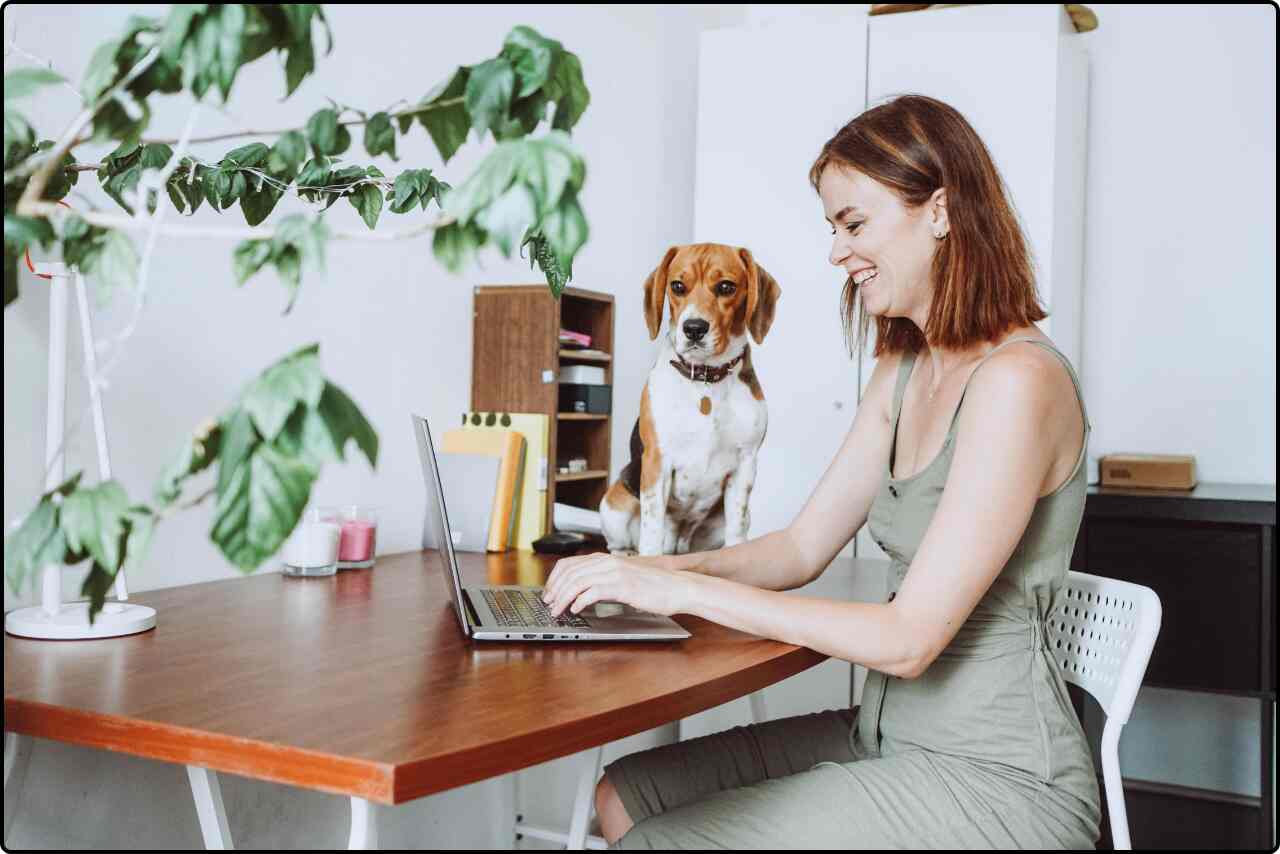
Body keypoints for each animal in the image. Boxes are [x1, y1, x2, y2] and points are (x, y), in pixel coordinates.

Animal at [599, 243, 778, 558]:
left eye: (726, 287)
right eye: (678, 286)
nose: (694, 328)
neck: (705, 381)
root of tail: (679, 543)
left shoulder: (745, 464)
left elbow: (736, 526)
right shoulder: (657, 462)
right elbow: (652, 526)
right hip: (613, 504)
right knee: (618, 544)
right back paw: (629, 554)